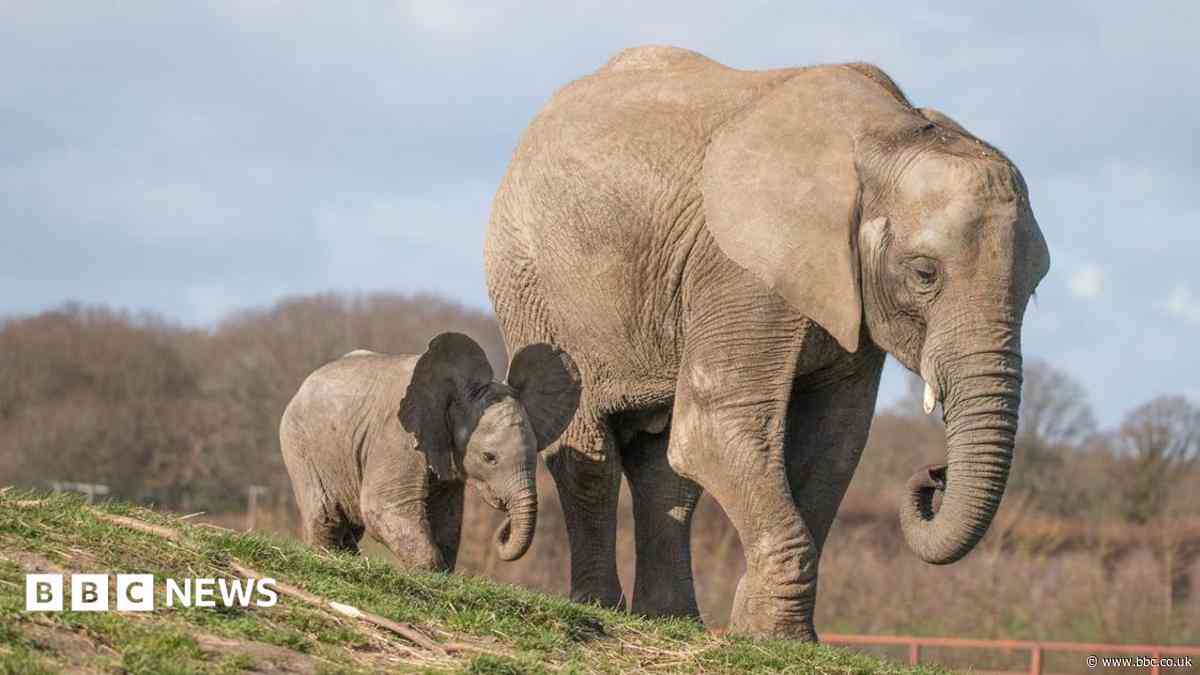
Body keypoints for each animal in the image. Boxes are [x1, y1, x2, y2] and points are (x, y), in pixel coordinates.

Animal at [279, 332, 581, 570]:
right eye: (489, 457)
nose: (503, 528)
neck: (458, 393)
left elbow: (447, 519)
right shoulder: (396, 438)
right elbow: (383, 507)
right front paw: (428, 572)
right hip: (298, 443)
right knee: (326, 515)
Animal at [483, 46, 1050, 639]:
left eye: (1035, 287)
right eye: (924, 274)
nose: (935, 475)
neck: (886, 136)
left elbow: (833, 443)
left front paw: (771, 634)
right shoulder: (741, 266)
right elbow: (715, 428)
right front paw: (770, 635)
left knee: (665, 473)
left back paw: (673, 619)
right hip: (528, 280)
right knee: (588, 456)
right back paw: (600, 607)